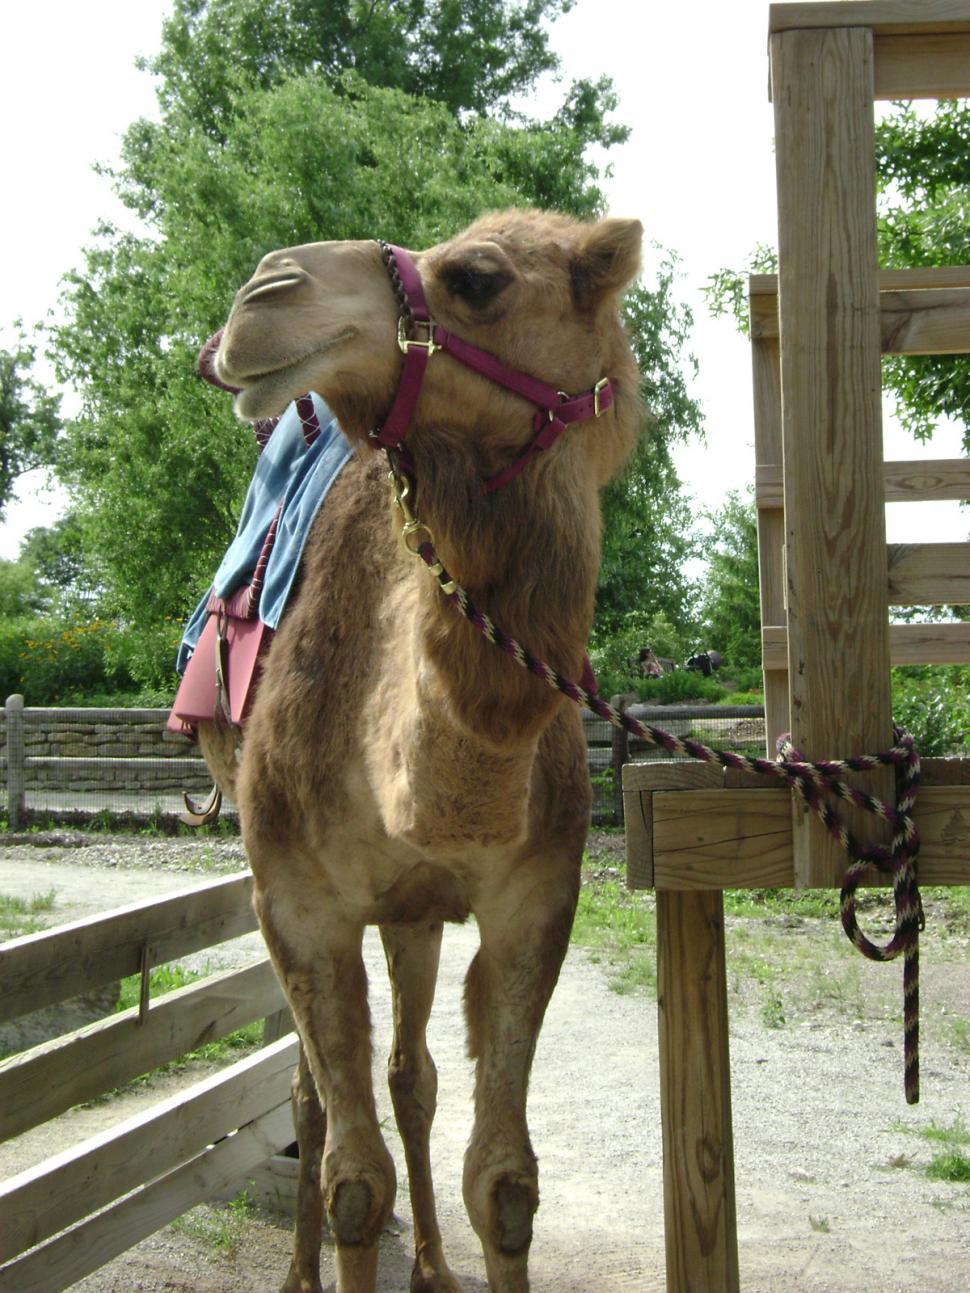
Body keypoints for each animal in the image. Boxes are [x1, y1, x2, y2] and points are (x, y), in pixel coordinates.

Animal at [198, 208, 643, 1293]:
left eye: (477, 278)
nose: (263, 292)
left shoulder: (535, 896)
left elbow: (506, 1180)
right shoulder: (297, 901)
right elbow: (356, 1182)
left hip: (414, 911)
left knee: (411, 1072)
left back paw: (436, 1267)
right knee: (313, 1096)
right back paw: (301, 1272)